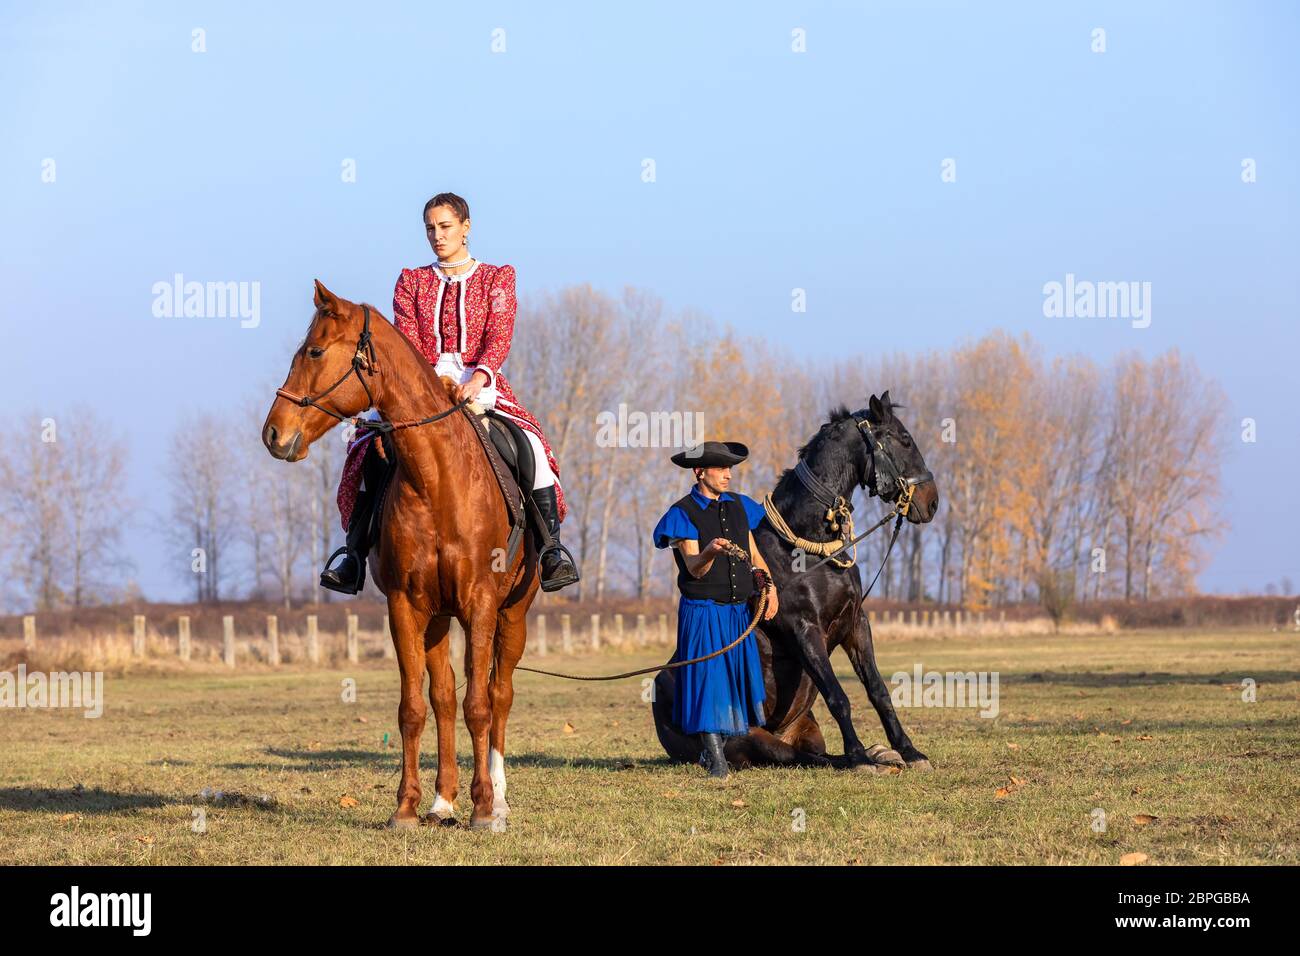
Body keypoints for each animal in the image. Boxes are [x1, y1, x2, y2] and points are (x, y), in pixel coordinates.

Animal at [261, 281, 537, 830]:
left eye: (315, 352)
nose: (273, 434)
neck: (436, 478)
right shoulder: (406, 607)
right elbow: (414, 706)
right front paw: (407, 807)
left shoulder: (481, 604)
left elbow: (480, 704)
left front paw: (484, 809)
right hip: (437, 618)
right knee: (444, 697)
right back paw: (443, 801)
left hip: (512, 614)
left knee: (498, 695)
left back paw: (497, 798)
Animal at [652, 393, 940, 772]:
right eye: (905, 439)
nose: (931, 502)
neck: (804, 549)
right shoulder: (804, 630)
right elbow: (838, 696)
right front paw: (859, 756)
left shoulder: (855, 624)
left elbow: (878, 691)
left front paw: (909, 751)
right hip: (752, 740)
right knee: (798, 758)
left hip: (806, 728)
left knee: (816, 753)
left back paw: (882, 753)